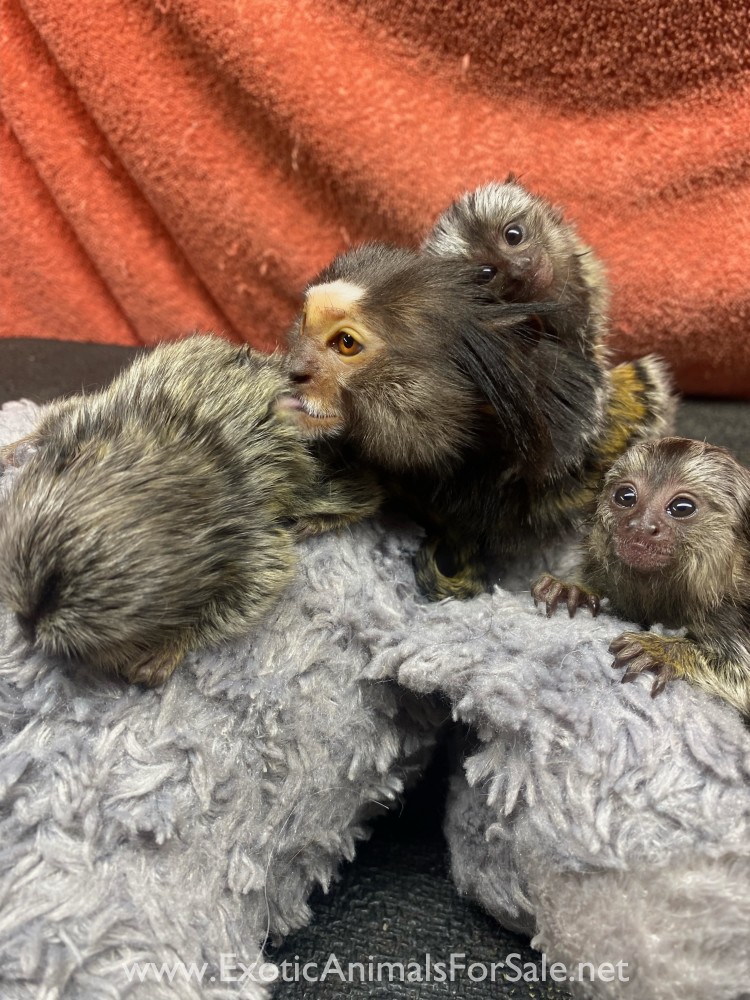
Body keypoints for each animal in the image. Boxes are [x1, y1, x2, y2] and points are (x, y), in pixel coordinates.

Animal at [0, 335, 381, 686]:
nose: (25, 625)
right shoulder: (94, 419)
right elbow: (61, 415)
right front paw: (15, 449)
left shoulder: (247, 529)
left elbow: (265, 579)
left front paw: (174, 642)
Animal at [533, 437, 750, 715]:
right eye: (626, 497)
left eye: (681, 508)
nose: (640, 526)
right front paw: (573, 589)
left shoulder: (730, 617)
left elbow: (742, 679)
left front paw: (666, 650)